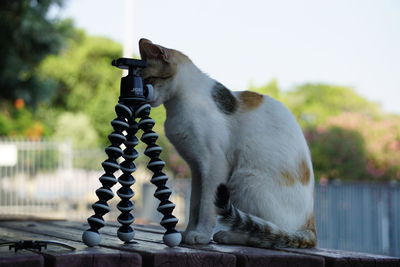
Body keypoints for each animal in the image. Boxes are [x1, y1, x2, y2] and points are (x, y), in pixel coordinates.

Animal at [139, 38, 318, 249]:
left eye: (147, 81)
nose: (140, 97)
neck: (177, 103)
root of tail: (310, 226)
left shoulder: (214, 164)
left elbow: (206, 205)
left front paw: (201, 235)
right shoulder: (197, 168)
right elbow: (195, 205)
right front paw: (189, 232)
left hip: (244, 180)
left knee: (265, 235)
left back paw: (227, 235)